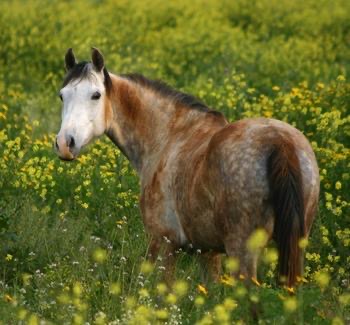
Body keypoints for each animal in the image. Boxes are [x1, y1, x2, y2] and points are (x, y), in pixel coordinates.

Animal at [55, 48, 320, 286]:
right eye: (62, 95)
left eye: (96, 95)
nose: (65, 144)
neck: (168, 136)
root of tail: (280, 142)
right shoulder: (208, 252)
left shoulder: (163, 243)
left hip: (242, 251)